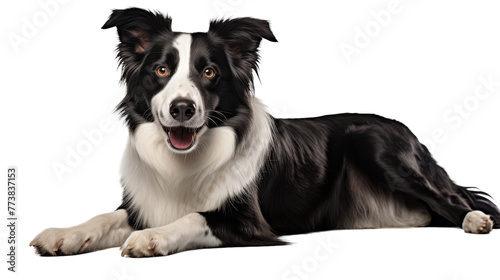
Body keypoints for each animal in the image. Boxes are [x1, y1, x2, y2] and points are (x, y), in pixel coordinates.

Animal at [31, 7, 500, 258]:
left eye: (209, 72)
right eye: (161, 70)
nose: (182, 108)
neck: (186, 160)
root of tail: (409, 132)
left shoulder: (248, 221)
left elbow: (194, 216)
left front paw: (152, 237)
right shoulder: (145, 200)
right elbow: (105, 217)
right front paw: (63, 235)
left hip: (378, 146)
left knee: (455, 200)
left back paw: (474, 220)